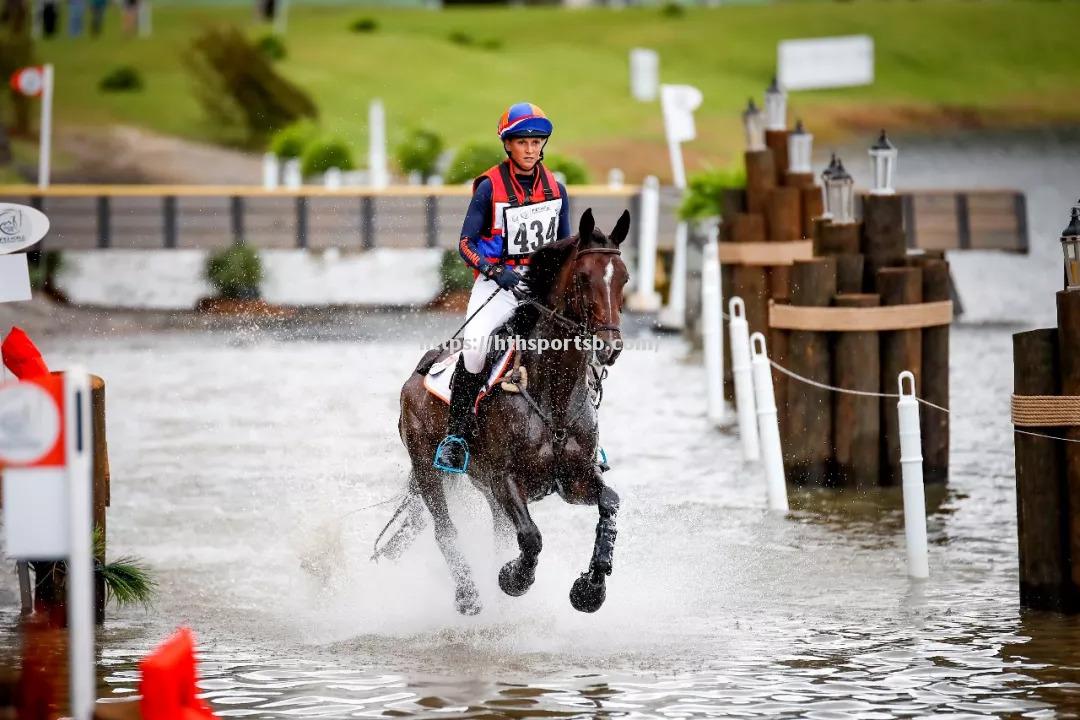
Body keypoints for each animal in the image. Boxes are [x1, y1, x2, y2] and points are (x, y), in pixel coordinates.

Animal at [395, 211, 630, 617]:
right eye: (584, 278)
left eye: (625, 278)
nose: (609, 347)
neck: (552, 397)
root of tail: (417, 374)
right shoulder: (505, 479)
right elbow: (532, 537)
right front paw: (514, 579)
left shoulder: (576, 480)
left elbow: (610, 505)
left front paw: (590, 590)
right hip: (429, 469)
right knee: (445, 530)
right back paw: (469, 595)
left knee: (497, 534)